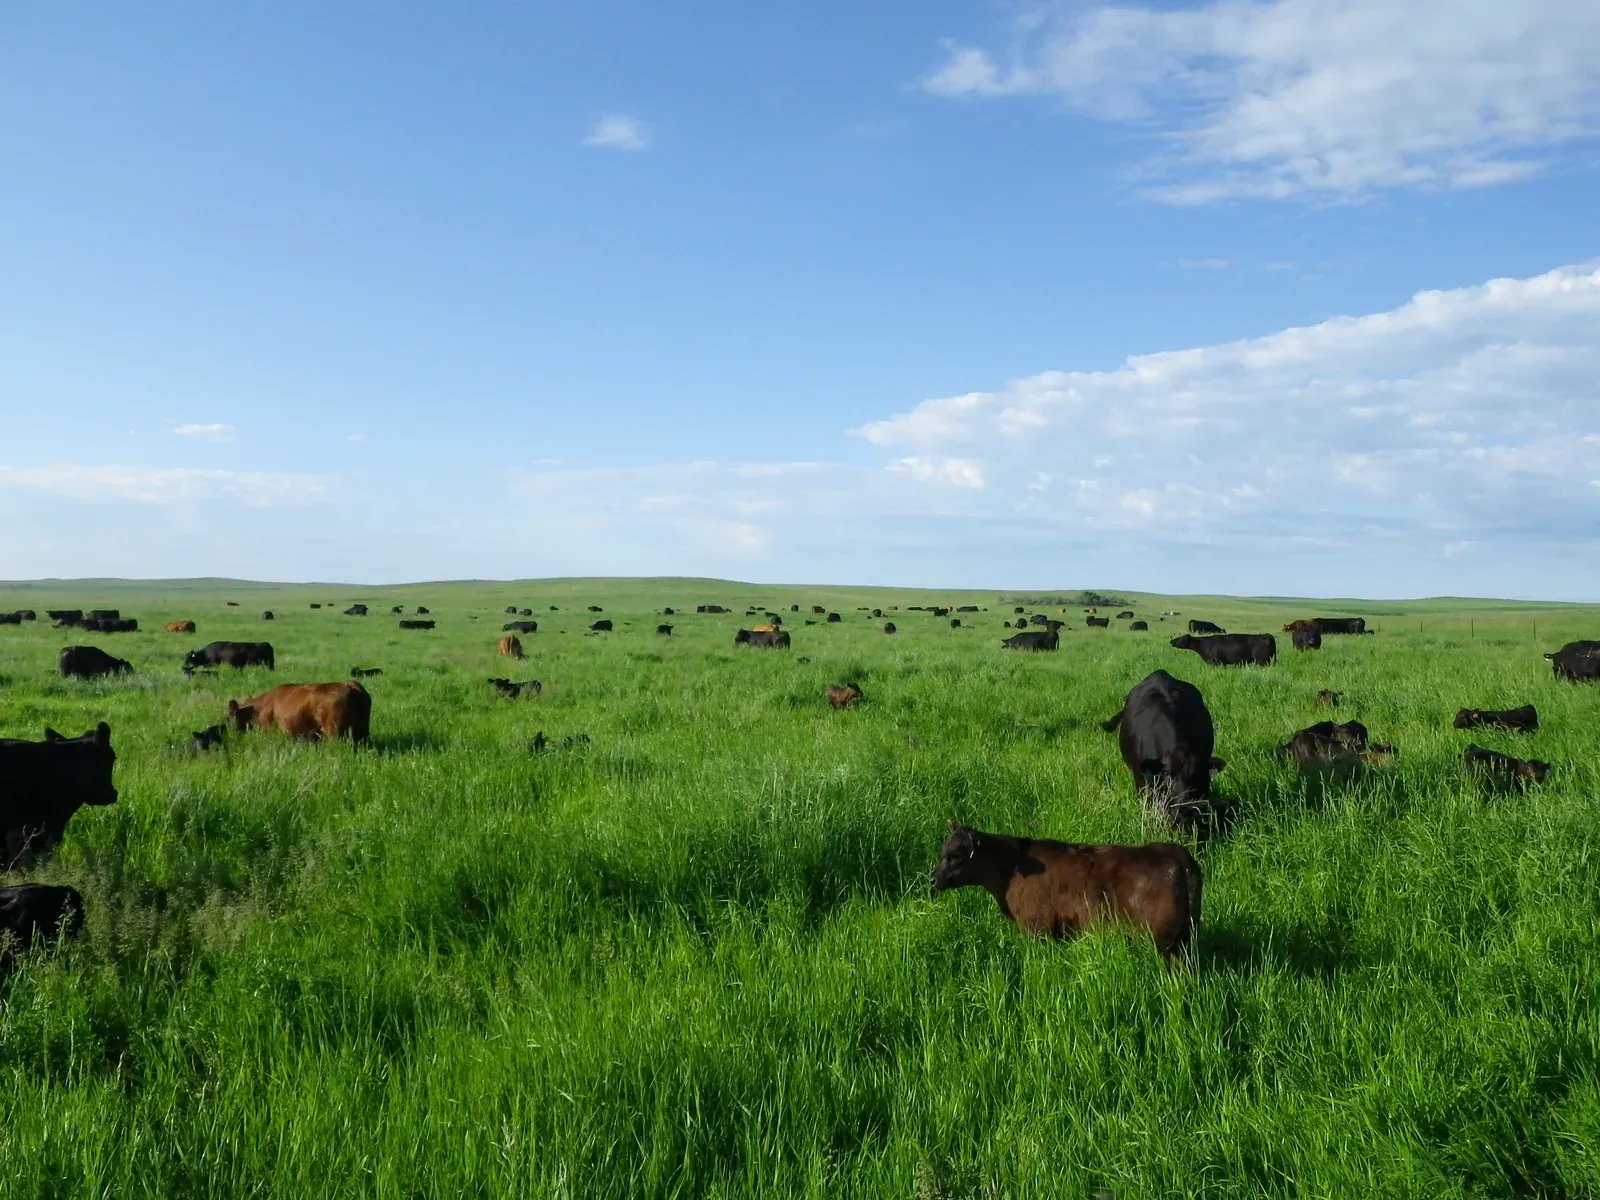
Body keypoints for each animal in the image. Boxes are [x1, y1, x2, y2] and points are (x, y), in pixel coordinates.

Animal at [929, 824, 1201, 959]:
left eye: (955, 856)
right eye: (943, 851)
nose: (933, 879)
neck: (1011, 869)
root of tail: (1176, 853)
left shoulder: (1037, 927)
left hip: (1162, 941)